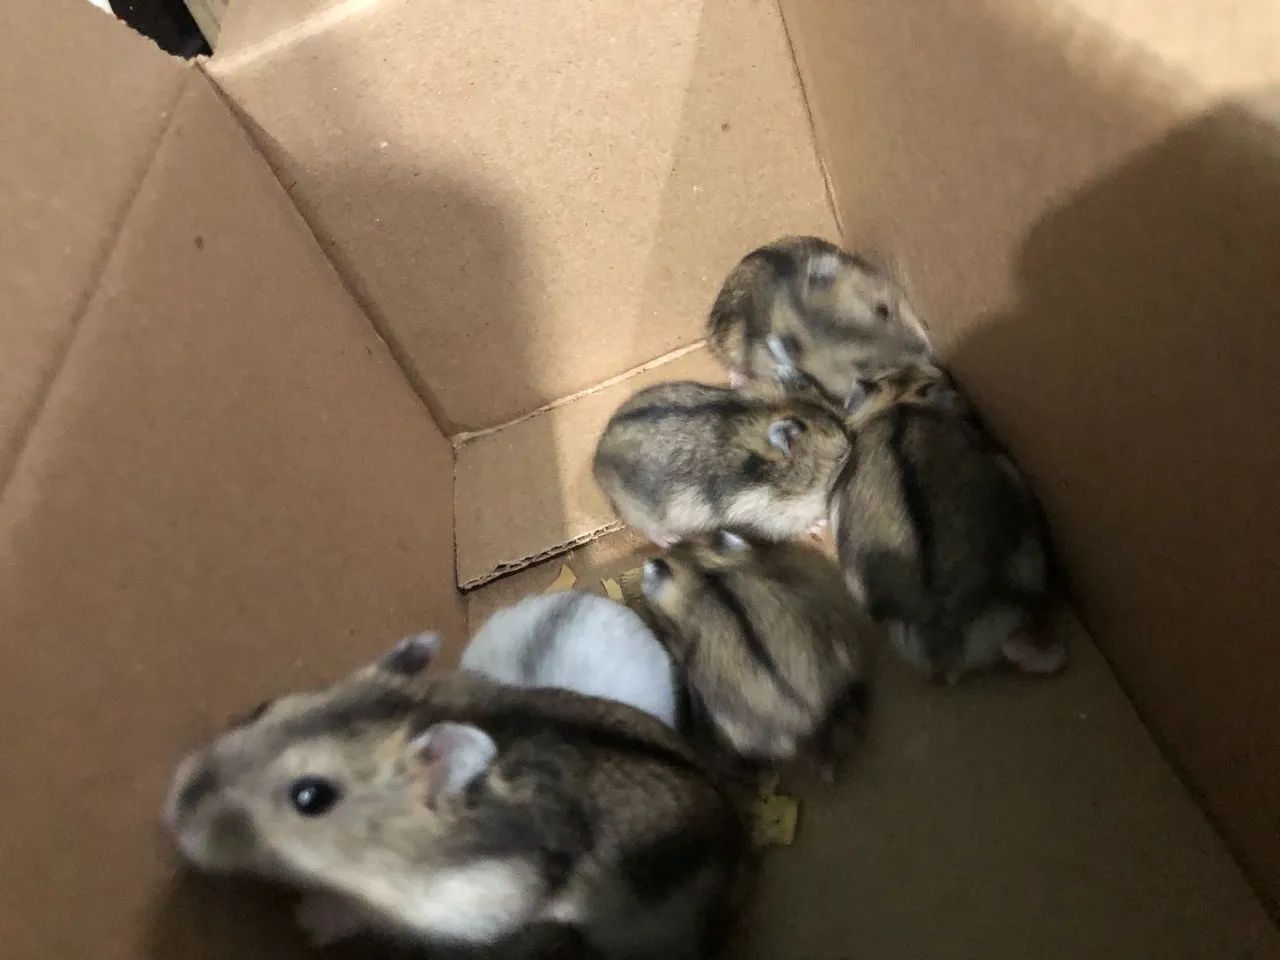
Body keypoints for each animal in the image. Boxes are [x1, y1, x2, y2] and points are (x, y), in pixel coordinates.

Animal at [165, 632, 746, 960]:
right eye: (263, 705)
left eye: (311, 797)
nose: (170, 813)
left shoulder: (468, 907)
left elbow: (365, 914)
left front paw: (309, 921)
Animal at [593, 380, 850, 547]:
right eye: (840, 457)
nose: (850, 445)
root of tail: (596, 463)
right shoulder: (773, 516)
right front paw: (820, 523)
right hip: (644, 513)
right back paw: (671, 540)